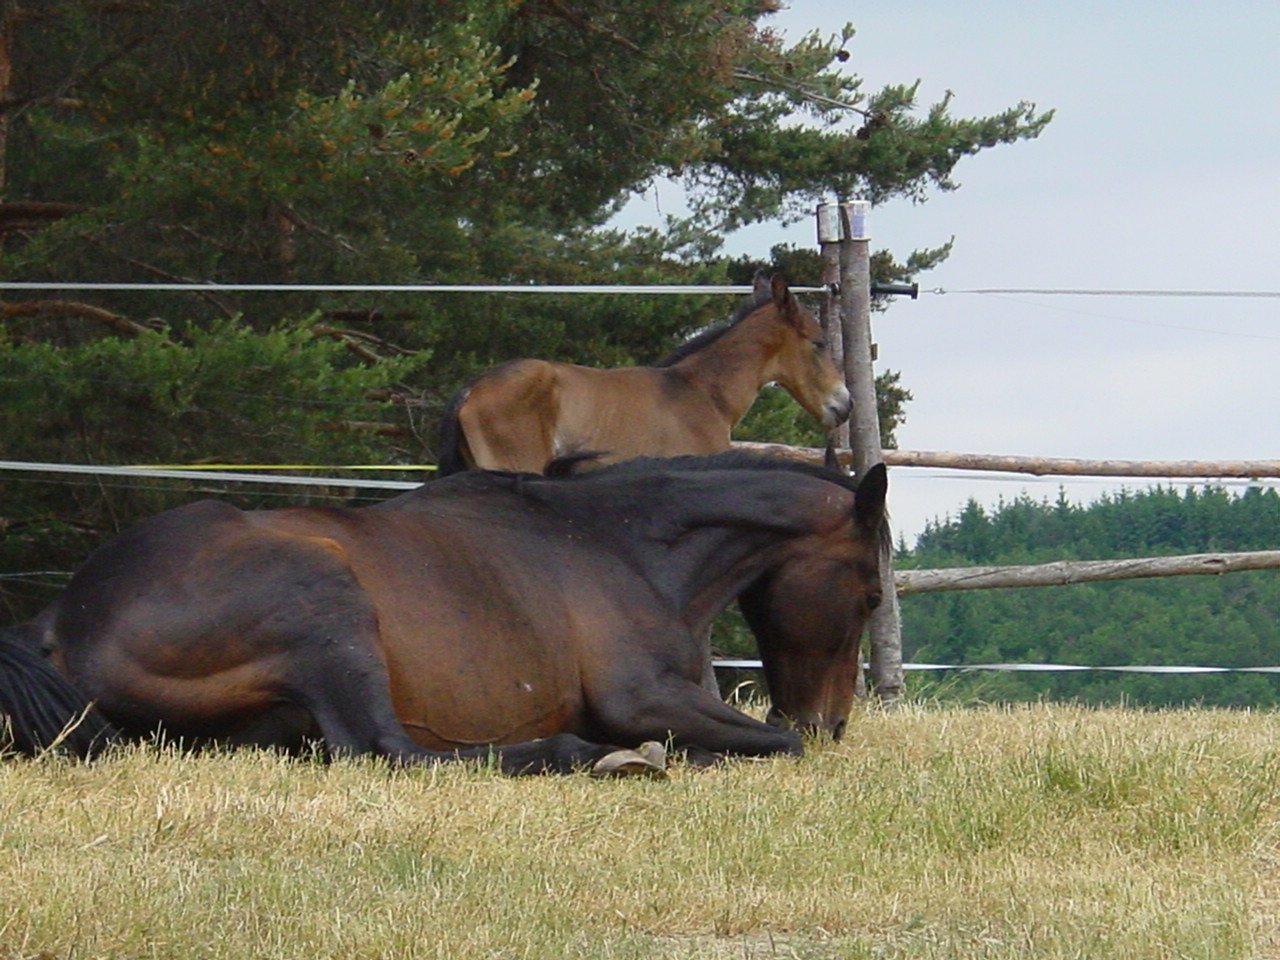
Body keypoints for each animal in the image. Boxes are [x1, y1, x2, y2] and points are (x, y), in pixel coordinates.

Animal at [0, 455, 885, 778]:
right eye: (873, 594)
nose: (833, 721)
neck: (622, 543)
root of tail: (63, 615)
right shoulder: (643, 696)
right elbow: (773, 744)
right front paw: (660, 752)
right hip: (326, 609)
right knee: (385, 751)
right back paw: (588, 756)